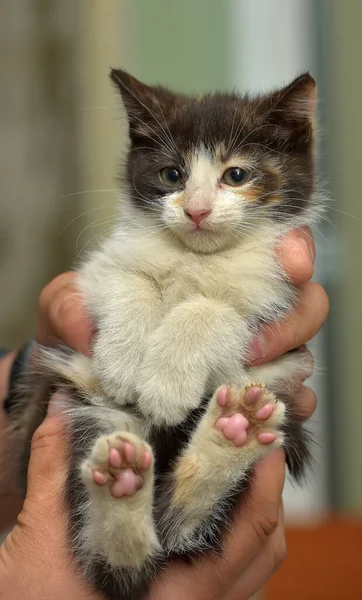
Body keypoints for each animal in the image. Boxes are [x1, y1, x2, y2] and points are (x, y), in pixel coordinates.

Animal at [7, 69, 320, 600]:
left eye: (236, 175)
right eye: (171, 175)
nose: (195, 210)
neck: (196, 257)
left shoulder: (277, 299)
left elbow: (213, 309)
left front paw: (166, 385)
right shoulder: (95, 273)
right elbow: (128, 281)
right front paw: (122, 363)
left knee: (177, 529)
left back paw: (232, 432)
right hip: (92, 414)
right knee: (121, 567)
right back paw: (125, 481)